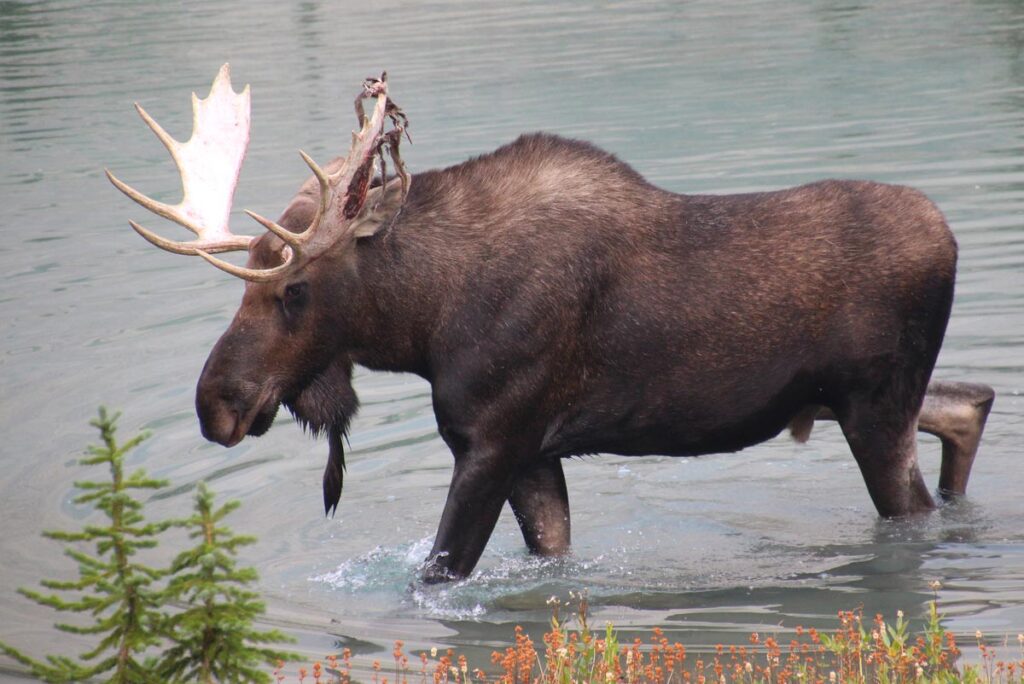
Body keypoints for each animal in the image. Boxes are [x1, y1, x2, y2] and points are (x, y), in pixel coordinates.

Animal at [110, 66, 991, 581]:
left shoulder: (495, 439)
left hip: (873, 408)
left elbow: (438, 573)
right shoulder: (533, 453)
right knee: (968, 401)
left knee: (918, 497)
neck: (420, 327)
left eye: (292, 288)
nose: (216, 402)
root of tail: (951, 239)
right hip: (854, 402)